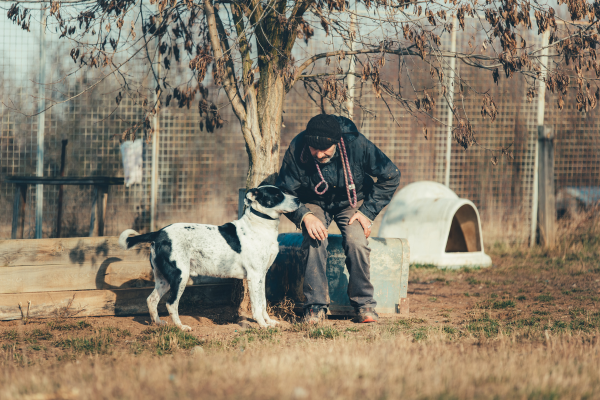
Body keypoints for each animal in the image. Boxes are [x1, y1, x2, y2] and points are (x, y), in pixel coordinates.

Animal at [119, 186, 300, 330]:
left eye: (284, 191)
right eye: (277, 195)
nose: (298, 199)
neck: (260, 225)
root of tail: (159, 233)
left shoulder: (262, 275)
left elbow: (263, 302)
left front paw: (269, 322)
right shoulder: (255, 276)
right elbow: (257, 306)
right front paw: (262, 325)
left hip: (164, 279)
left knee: (151, 300)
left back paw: (158, 323)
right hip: (180, 276)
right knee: (171, 304)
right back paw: (181, 327)